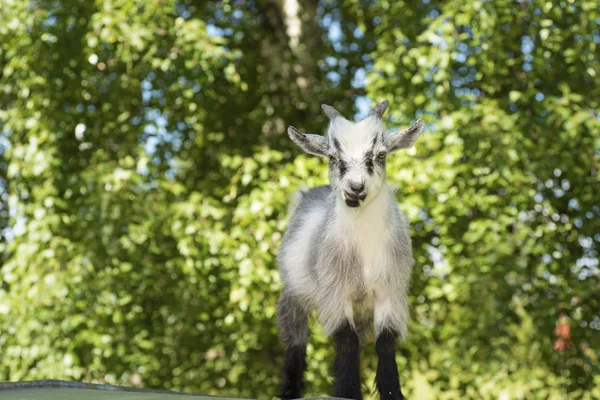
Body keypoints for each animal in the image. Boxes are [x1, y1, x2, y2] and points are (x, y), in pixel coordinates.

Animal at [274, 100, 424, 400]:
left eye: (381, 155)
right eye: (333, 157)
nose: (356, 188)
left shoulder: (390, 291)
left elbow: (385, 343)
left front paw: (391, 392)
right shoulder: (335, 291)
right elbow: (346, 341)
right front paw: (348, 390)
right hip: (293, 293)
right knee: (295, 342)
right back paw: (289, 389)